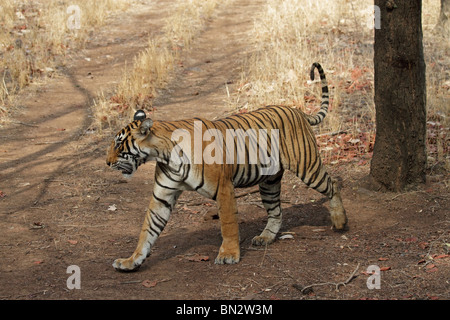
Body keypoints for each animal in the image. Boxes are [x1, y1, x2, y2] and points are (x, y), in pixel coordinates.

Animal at [106, 63, 348, 272]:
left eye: (118, 144)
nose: (107, 162)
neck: (166, 155)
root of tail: (298, 111)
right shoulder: (162, 196)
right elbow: (147, 230)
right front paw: (131, 261)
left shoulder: (223, 188)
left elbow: (228, 223)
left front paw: (229, 255)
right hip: (269, 182)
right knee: (276, 212)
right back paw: (265, 237)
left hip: (307, 167)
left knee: (333, 184)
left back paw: (340, 222)